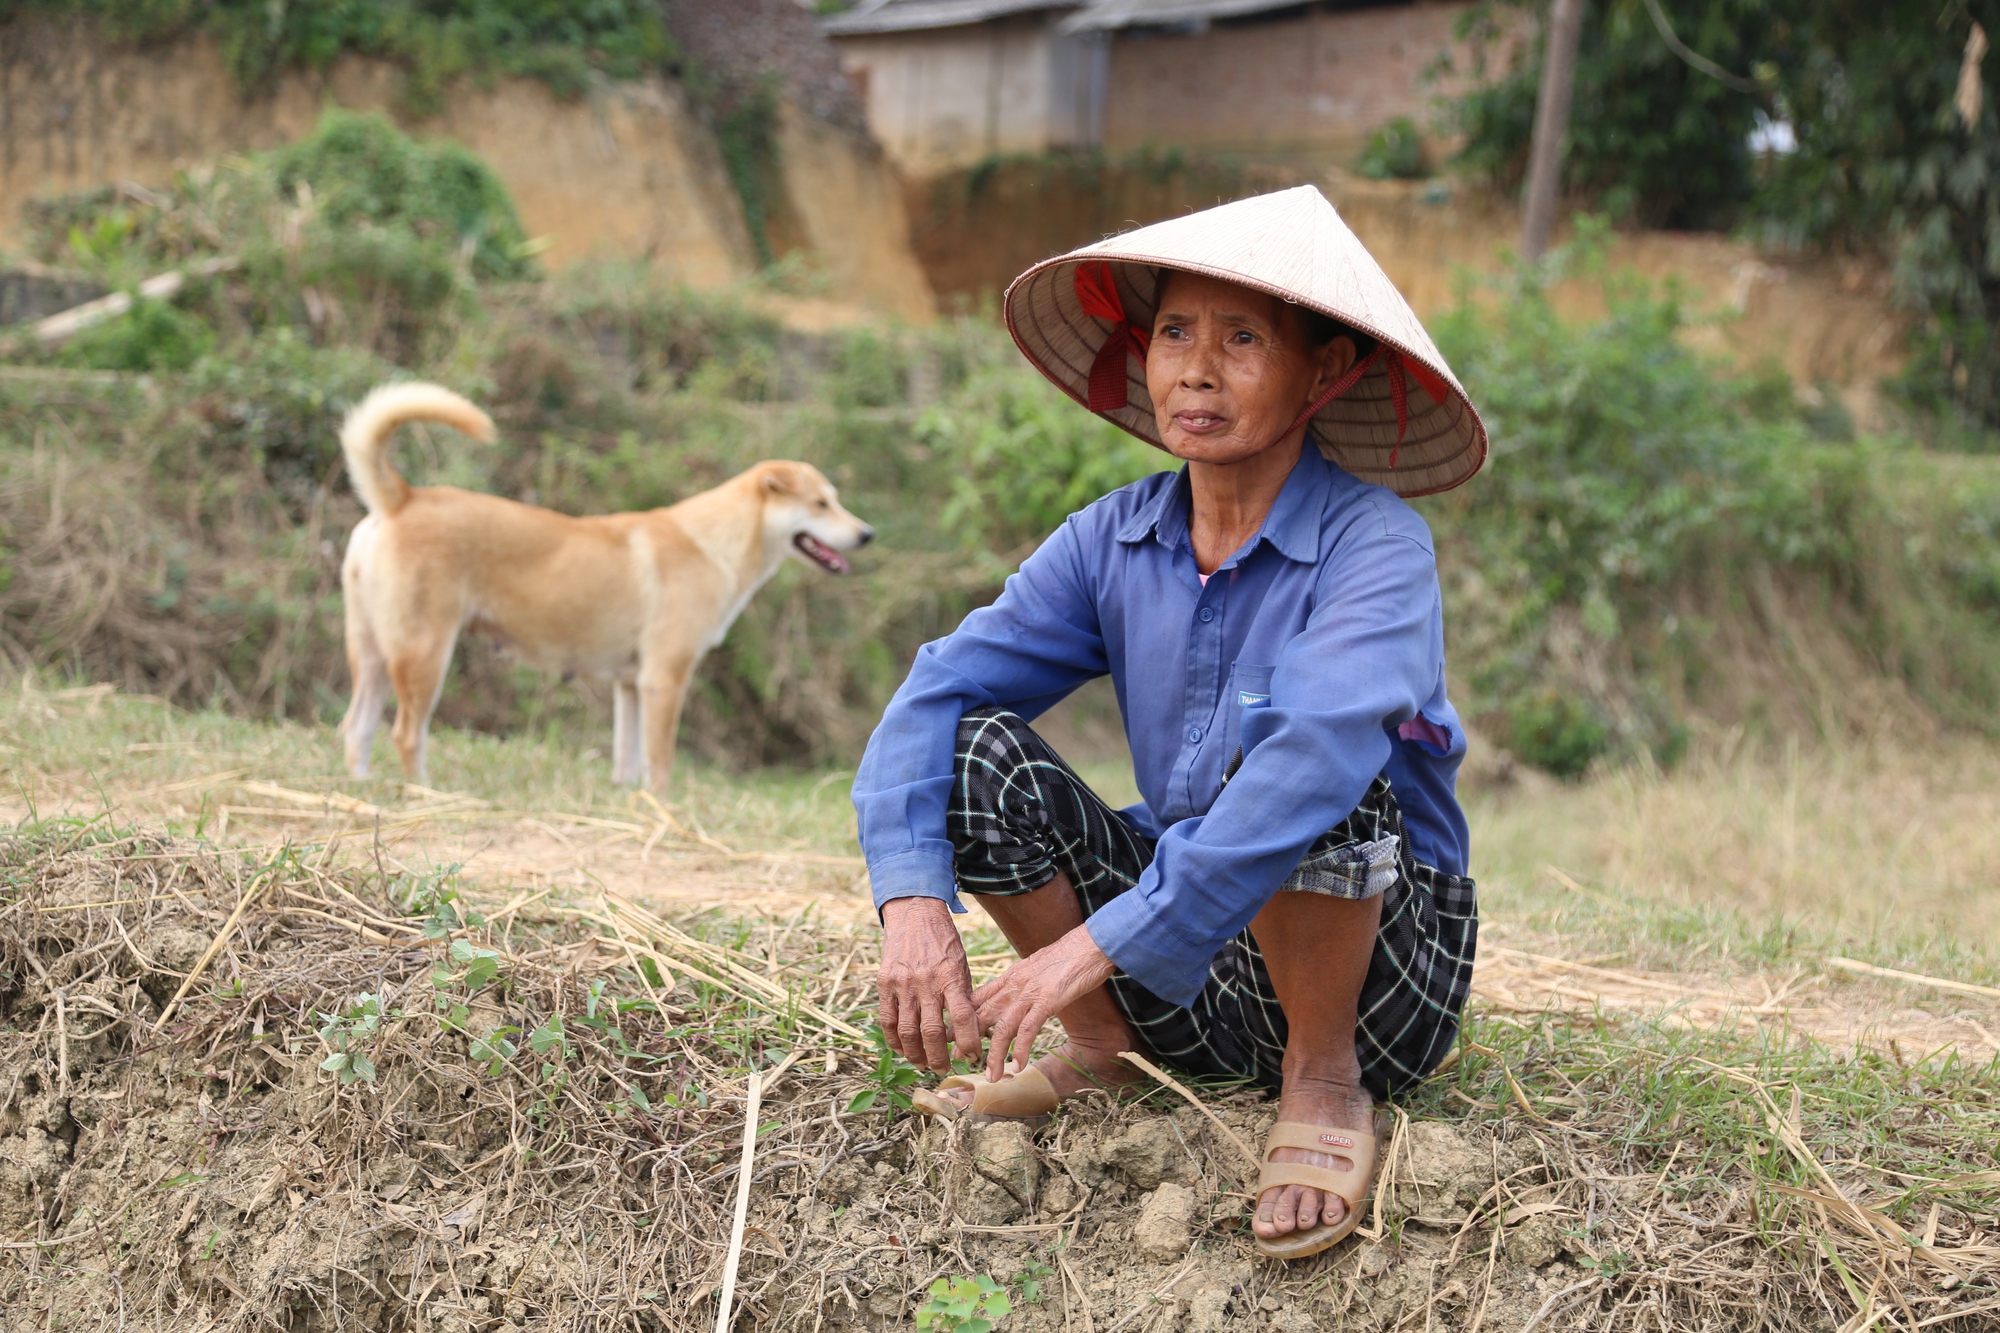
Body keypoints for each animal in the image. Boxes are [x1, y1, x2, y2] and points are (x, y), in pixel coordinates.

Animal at [340, 378, 872, 784]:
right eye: (821, 504)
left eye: (835, 500)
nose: (867, 534)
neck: (710, 542)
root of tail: (402, 499)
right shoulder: (664, 681)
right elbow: (660, 763)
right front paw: (663, 809)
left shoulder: (630, 686)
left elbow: (627, 761)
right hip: (425, 653)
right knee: (405, 733)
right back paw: (425, 792)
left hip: (373, 654)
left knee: (355, 726)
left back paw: (362, 787)